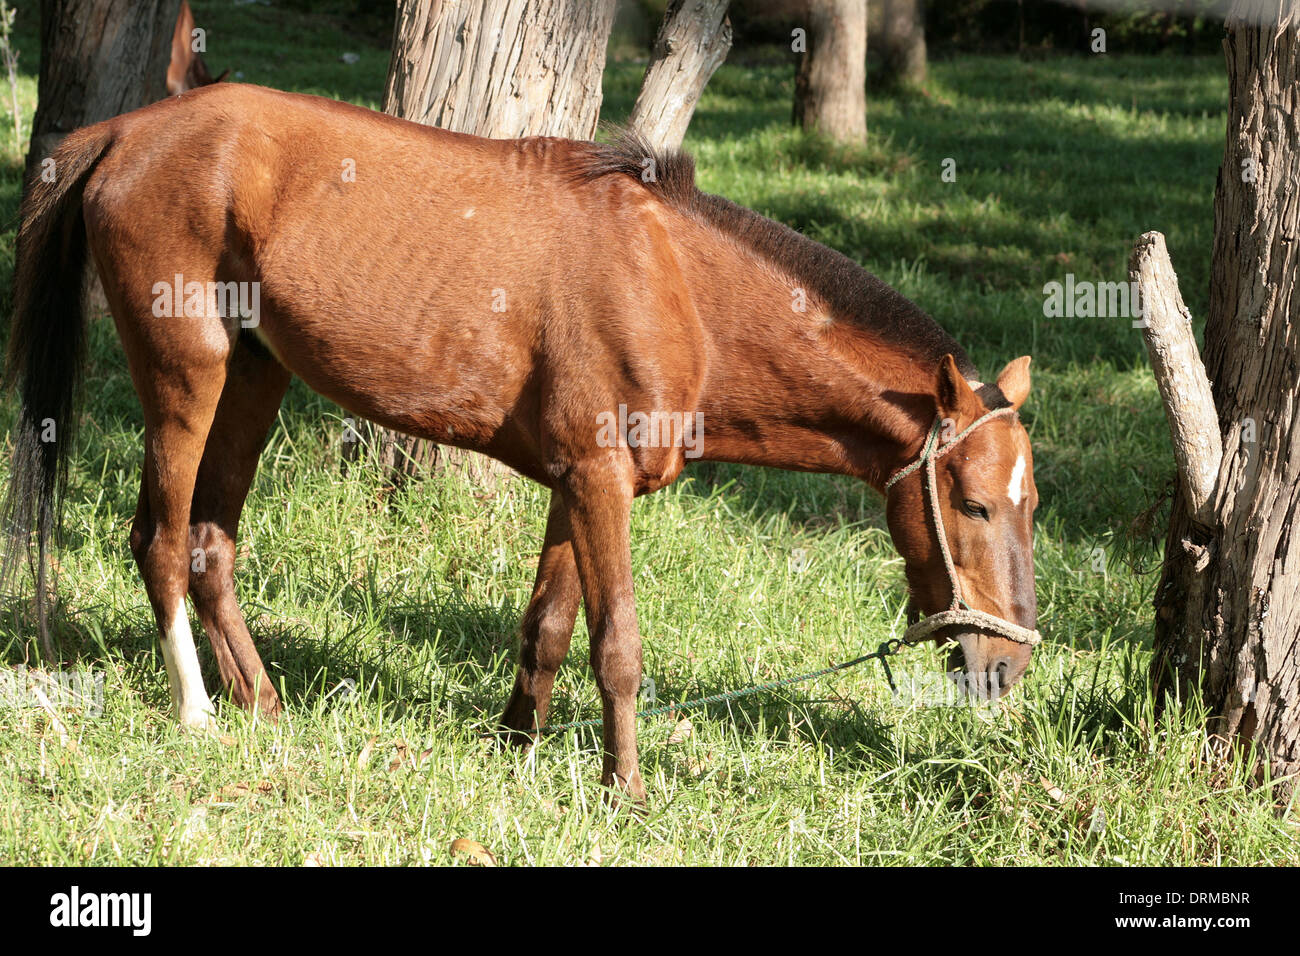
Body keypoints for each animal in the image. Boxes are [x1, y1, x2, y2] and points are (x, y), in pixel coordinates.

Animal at [2, 82, 1034, 806]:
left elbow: (548, 629)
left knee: (211, 545)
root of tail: (124, 132)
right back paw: (198, 712)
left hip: (256, 378)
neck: (677, 285)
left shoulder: (579, 485)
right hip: (189, 373)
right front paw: (626, 791)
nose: (1009, 668)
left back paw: (262, 704)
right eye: (973, 503)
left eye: (1030, 508)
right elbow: (617, 644)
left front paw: (517, 750)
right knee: (160, 540)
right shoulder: (597, 482)